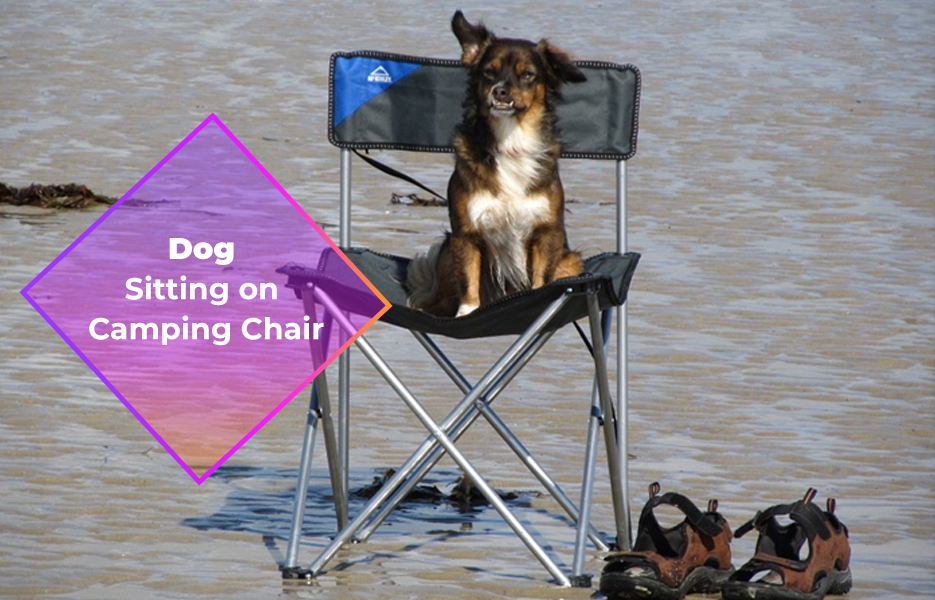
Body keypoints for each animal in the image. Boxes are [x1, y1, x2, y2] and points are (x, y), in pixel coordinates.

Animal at [408, 10, 588, 318]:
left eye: (527, 75)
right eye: (489, 72)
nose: (500, 92)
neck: (510, 140)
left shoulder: (547, 232)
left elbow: (541, 280)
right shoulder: (465, 234)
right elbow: (468, 283)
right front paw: (465, 315)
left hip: (570, 261)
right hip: (446, 252)